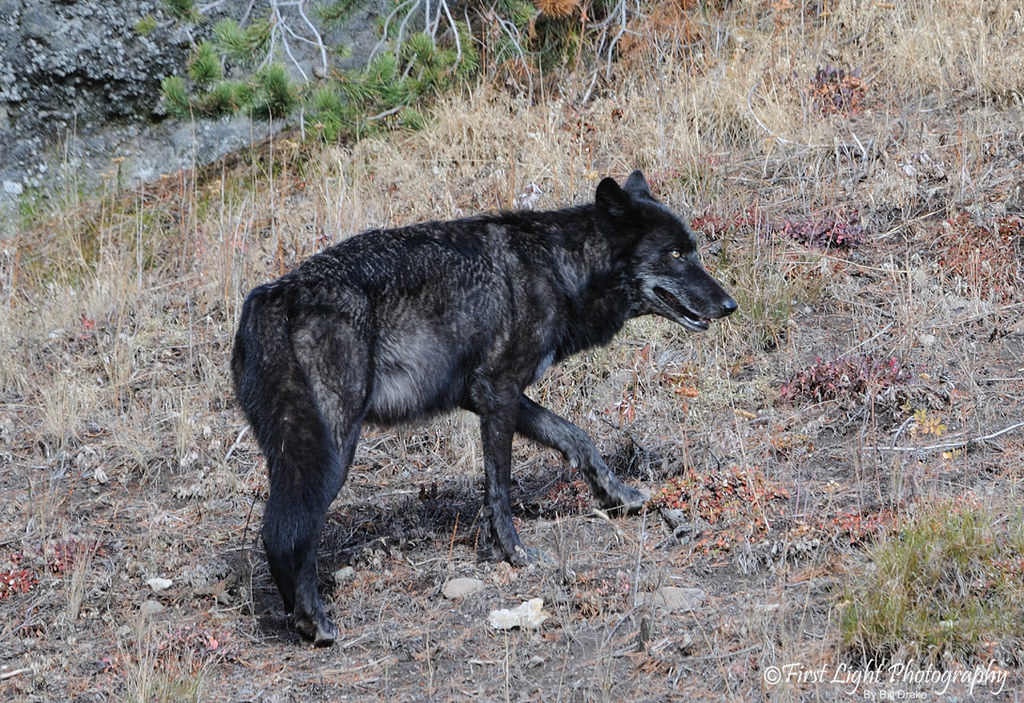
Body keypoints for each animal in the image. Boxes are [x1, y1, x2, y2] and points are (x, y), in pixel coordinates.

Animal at [231, 170, 737, 645]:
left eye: (693, 250)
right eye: (676, 255)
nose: (730, 304)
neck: (557, 269)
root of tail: (272, 295)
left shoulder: (488, 395)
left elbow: (577, 437)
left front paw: (618, 495)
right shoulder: (499, 392)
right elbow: (500, 489)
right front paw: (516, 554)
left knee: (277, 528)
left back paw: (295, 615)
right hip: (333, 453)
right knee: (292, 530)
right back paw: (313, 621)